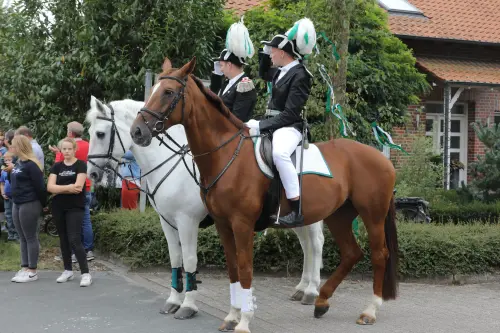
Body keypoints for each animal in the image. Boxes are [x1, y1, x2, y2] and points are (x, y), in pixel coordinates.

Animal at [84, 98, 326, 322]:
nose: (92, 174)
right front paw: (173, 301)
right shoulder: (166, 221)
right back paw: (301, 288)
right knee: (305, 245)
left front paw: (188, 305)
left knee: (315, 244)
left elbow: (190, 259)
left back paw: (311, 291)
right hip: (291, 217)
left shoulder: (187, 221)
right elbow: (175, 258)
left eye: (100, 134)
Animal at [130, 57, 398, 332]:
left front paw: (243, 320)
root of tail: (381, 157)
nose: (137, 131)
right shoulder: (221, 224)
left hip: (372, 215)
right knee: (350, 253)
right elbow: (232, 268)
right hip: (339, 216)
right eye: (151, 92)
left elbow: (243, 268)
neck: (226, 156)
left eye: (168, 92)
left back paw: (368, 310)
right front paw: (232, 316)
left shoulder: (235, 224)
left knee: (377, 254)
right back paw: (321, 301)